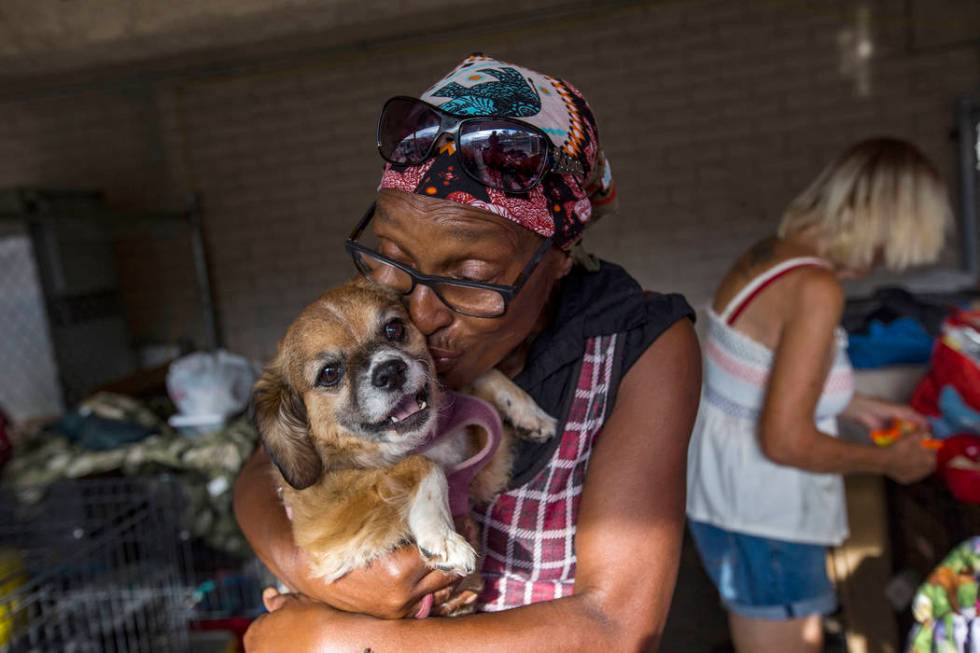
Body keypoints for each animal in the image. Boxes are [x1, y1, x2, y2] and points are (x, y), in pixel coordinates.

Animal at [253, 278, 556, 592]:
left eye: (394, 328)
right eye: (329, 373)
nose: (390, 371)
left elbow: (482, 373)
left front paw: (528, 412)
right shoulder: (324, 530)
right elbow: (423, 464)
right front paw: (442, 536)